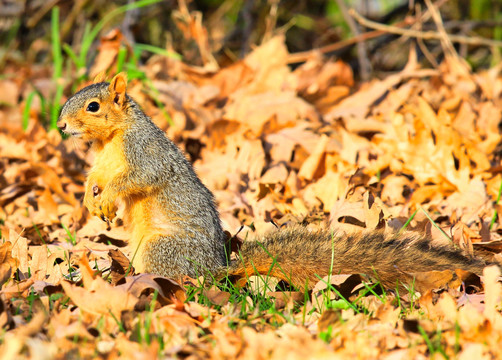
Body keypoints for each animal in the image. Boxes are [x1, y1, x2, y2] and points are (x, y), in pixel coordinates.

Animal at [56, 73, 492, 290]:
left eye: (93, 106)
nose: (60, 126)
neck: (112, 138)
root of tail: (216, 270)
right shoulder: (102, 162)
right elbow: (95, 176)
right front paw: (90, 200)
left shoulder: (144, 153)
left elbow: (138, 178)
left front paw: (107, 199)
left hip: (162, 249)